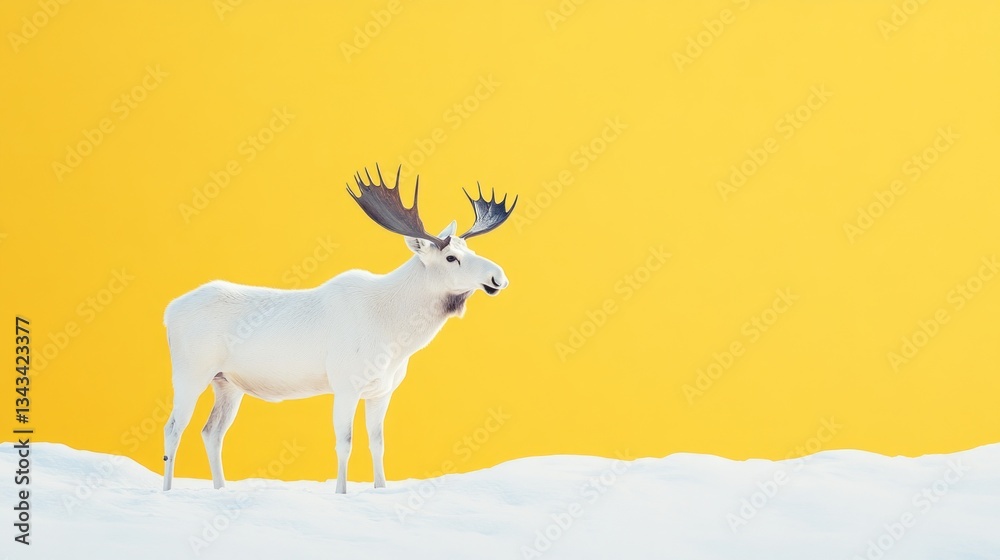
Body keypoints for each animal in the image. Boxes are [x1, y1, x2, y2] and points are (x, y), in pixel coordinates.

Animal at [161, 165, 516, 493]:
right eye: (452, 258)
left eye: (471, 251)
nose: (498, 276)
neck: (396, 334)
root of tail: (168, 312)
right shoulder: (346, 384)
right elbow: (344, 443)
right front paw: (341, 492)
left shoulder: (382, 390)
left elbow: (378, 444)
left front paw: (380, 488)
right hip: (191, 372)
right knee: (173, 428)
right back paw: (166, 490)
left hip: (228, 383)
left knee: (211, 432)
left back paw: (220, 488)